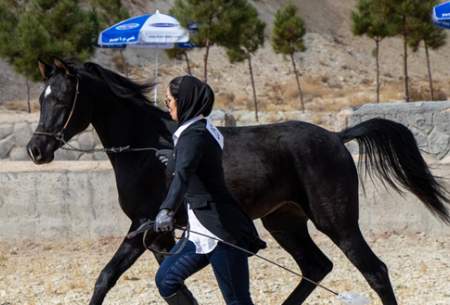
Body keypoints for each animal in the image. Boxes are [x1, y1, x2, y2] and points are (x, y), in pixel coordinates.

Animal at [26, 58, 448, 304]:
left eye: (61, 99)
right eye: (41, 98)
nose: (36, 150)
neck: (148, 148)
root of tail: (336, 136)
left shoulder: (147, 227)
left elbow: (115, 279)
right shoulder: (151, 234)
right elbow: (128, 282)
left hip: (337, 223)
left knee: (374, 271)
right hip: (284, 222)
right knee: (316, 266)